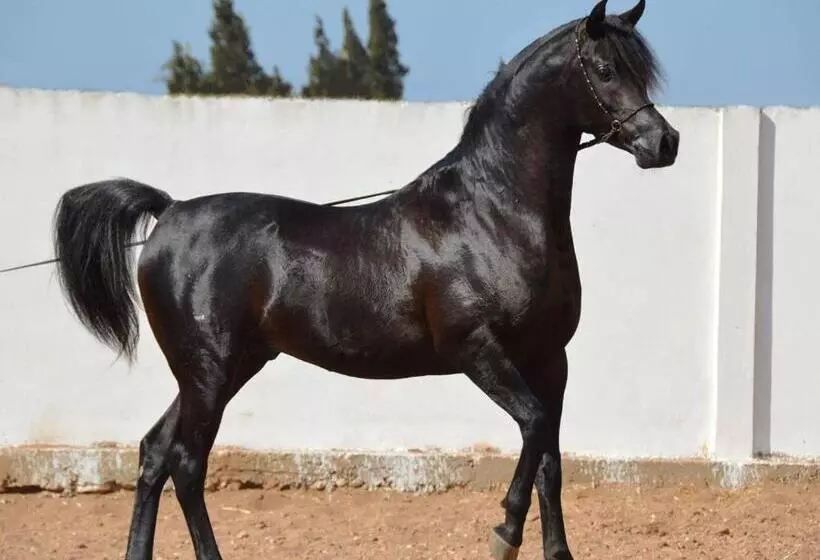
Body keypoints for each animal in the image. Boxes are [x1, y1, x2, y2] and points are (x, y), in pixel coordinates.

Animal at [51, 1, 678, 558]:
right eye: (605, 70)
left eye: (640, 69)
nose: (664, 142)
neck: (491, 212)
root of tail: (171, 211)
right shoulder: (478, 351)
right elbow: (535, 427)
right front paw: (502, 534)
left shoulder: (550, 360)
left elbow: (549, 457)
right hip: (208, 372)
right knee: (185, 462)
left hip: (224, 369)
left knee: (155, 452)